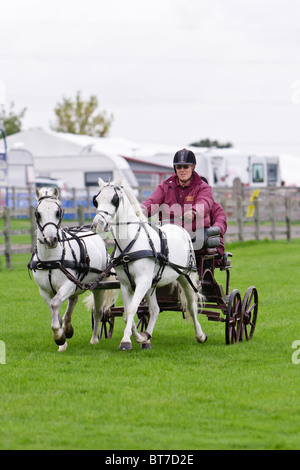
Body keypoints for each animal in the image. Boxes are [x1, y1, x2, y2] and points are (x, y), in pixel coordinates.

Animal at [29, 189, 118, 350]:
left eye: (58, 212)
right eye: (38, 213)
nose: (50, 240)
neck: (51, 260)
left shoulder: (68, 284)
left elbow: (55, 304)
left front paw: (59, 336)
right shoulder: (44, 290)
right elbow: (55, 311)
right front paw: (63, 339)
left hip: (99, 287)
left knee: (98, 312)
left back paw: (94, 339)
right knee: (73, 301)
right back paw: (68, 328)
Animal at [92, 178, 207, 350]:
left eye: (114, 199)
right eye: (96, 200)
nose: (98, 223)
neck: (131, 243)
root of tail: (179, 228)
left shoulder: (142, 281)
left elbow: (132, 309)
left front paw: (126, 341)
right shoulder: (126, 284)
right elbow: (128, 313)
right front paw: (139, 337)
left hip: (186, 277)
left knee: (192, 307)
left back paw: (200, 335)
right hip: (152, 284)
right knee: (154, 309)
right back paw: (147, 338)